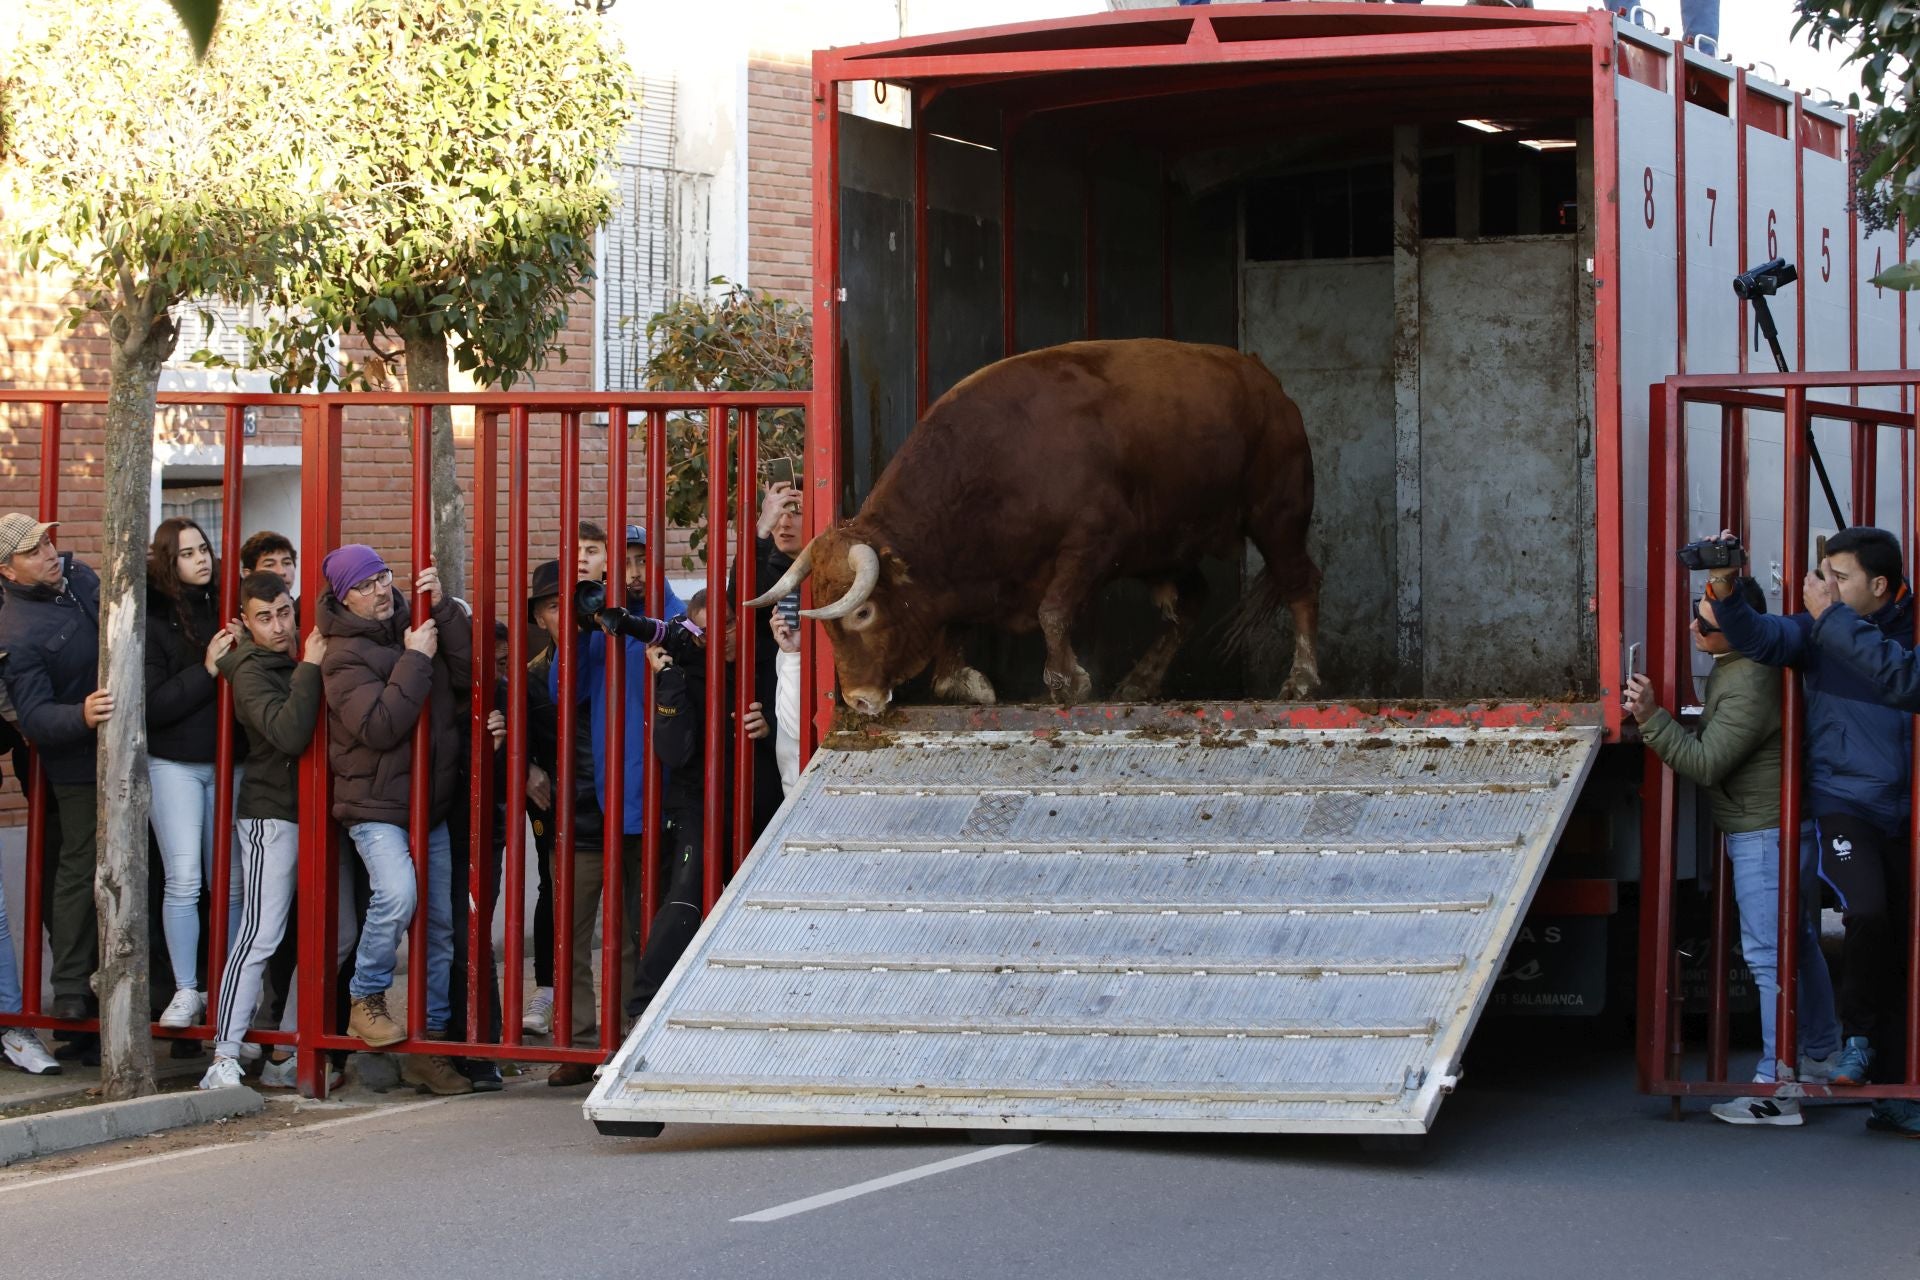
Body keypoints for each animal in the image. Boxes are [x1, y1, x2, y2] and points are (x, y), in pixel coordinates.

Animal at [748, 339, 1320, 717]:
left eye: (863, 611)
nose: (859, 700)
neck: (996, 462)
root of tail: (1266, 382)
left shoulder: (1094, 542)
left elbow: (1052, 611)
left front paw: (1068, 681)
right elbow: (953, 643)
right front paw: (968, 681)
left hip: (1278, 515)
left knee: (1299, 582)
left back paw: (1302, 679)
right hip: (1169, 547)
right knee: (1190, 602)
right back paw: (1140, 682)